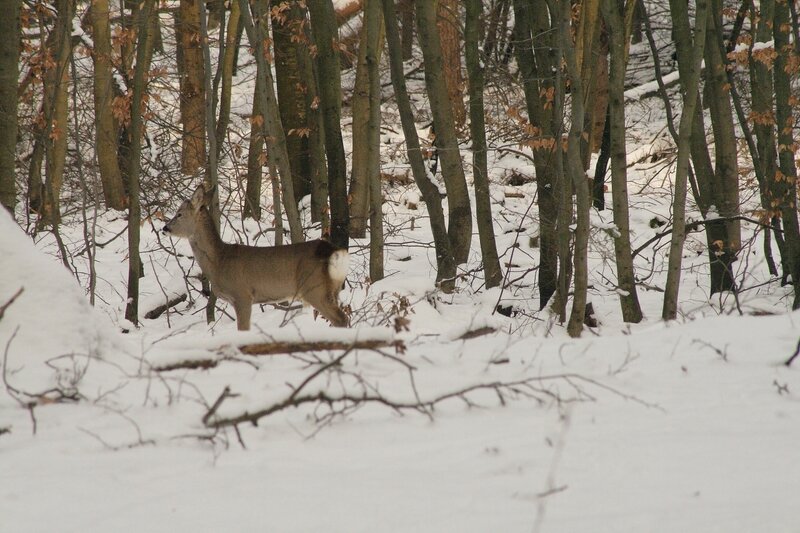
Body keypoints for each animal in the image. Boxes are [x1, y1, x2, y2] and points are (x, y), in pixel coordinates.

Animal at [163, 184, 349, 331]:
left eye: (179, 214)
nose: (165, 228)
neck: (219, 261)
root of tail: (334, 251)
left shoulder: (242, 294)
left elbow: (243, 329)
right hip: (333, 288)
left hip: (314, 287)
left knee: (341, 319)